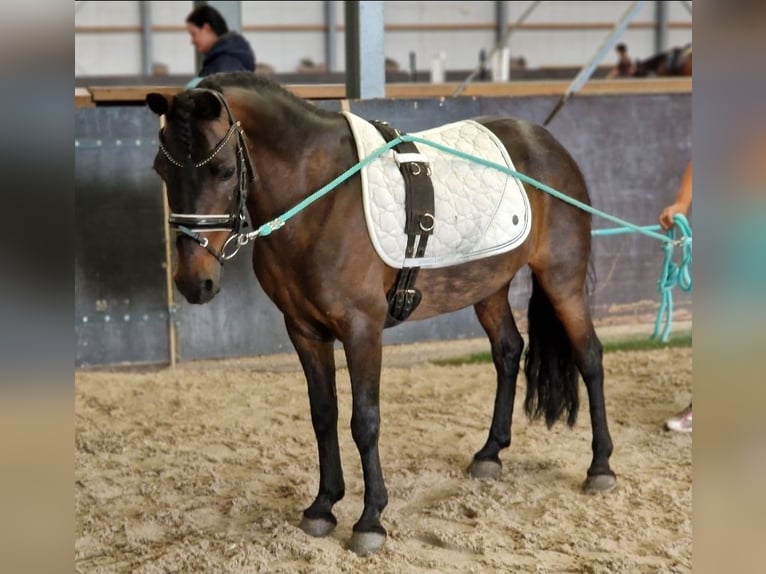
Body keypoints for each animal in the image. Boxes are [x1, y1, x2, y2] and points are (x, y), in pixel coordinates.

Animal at [145, 72, 616, 556]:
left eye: (223, 170)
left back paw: (600, 467)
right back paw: (490, 453)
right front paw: (323, 506)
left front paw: (370, 520)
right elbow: (323, 415)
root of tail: (546, 142)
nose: (193, 282)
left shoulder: (362, 330)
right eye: (162, 170)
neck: (320, 199)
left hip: (562, 280)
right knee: (508, 351)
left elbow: (364, 421)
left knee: (589, 357)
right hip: (488, 286)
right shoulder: (304, 331)